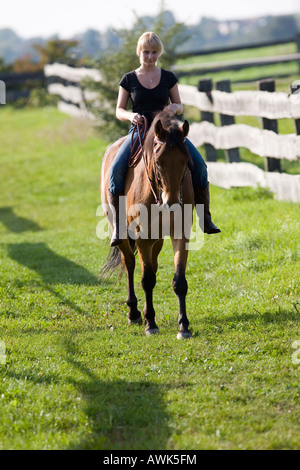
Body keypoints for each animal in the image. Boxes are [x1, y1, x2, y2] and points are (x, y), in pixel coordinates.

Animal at [100, 110, 195, 338]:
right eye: (158, 162)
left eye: (186, 162)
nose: (172, 202)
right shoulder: (142, 238)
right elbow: (147, 280)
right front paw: (151, 323)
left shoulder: (180, 234)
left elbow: (179, 281)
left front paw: (183, 326)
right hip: (122, 235)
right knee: (130, 264)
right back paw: (134, 313)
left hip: (157, 240)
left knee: (152, 264)